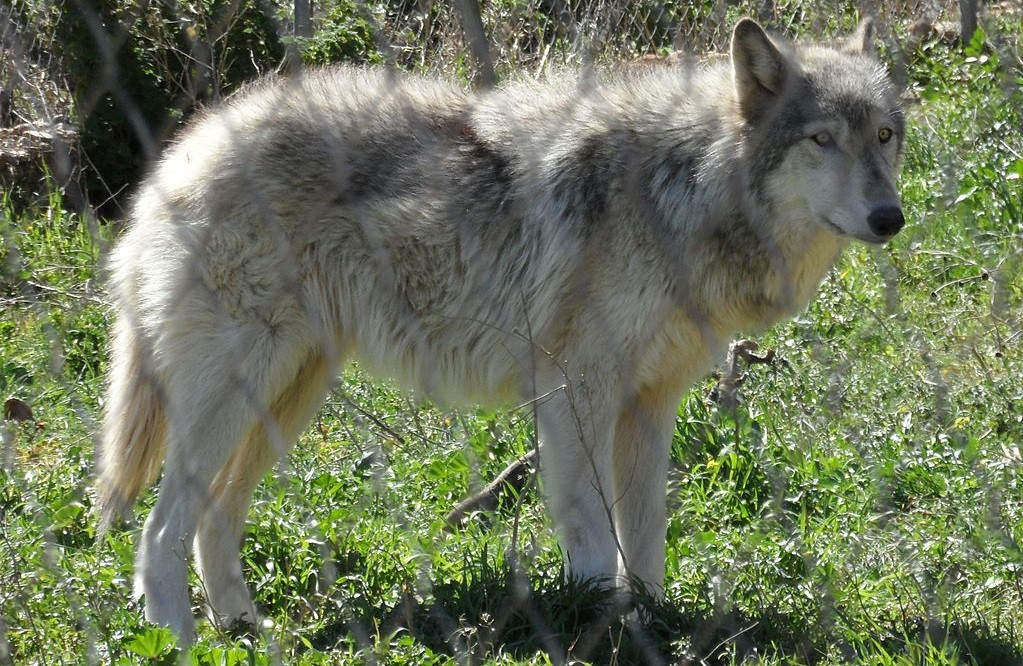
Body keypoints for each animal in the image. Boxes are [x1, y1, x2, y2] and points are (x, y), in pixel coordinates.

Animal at [99, 16, 908, 642]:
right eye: (821, 140)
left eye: (884, 136)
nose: (889, 217)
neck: (688, 188)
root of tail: (184, 151)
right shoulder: (578, 392)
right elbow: (593, 536)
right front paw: (602, 623)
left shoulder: (651, 404)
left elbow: (646, 537)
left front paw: (650, 622)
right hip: (239, 393)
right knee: (159, 530)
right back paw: (177, 640)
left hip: (288, 398)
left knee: (212, 523)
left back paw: (242, 629)